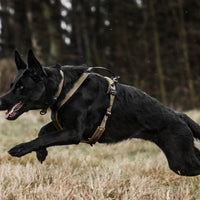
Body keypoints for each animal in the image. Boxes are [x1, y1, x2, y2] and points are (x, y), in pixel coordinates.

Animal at [1, 50, 200, 177]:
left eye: (21, 87)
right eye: (12, 85)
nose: (0, 102)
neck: (63, 87)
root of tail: (180, 115)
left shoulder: (73, 132)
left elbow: (44, 137)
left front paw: (20, 148)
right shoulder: (63, 125)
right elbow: (42, 132)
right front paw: (41, 153)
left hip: (181, 161)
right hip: (182, 155)